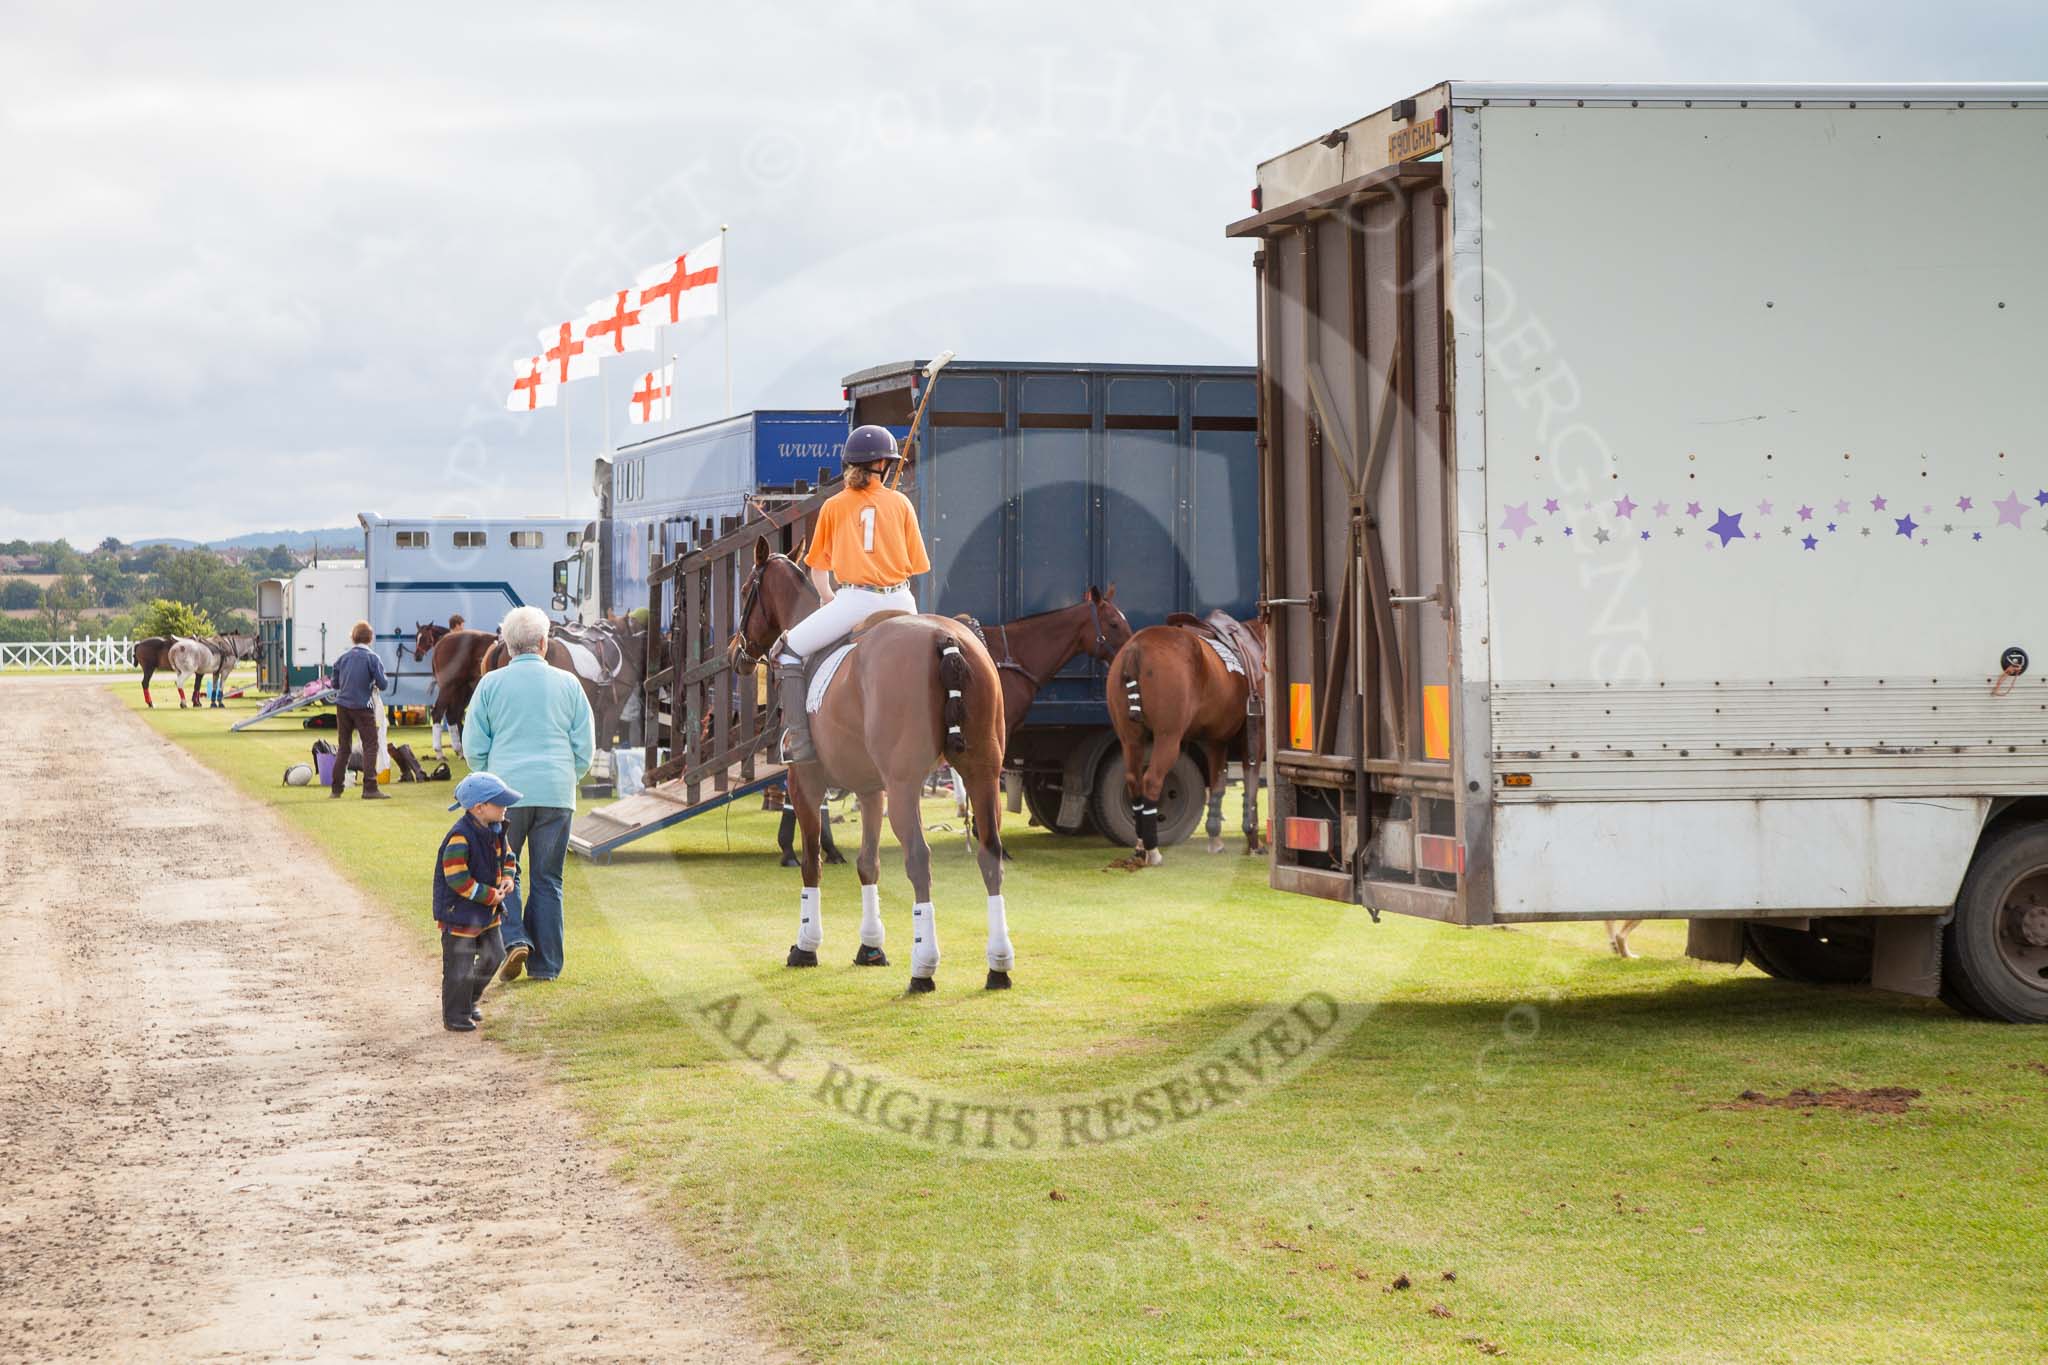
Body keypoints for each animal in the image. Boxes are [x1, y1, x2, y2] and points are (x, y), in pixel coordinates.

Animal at [733, 540, 1011, 998]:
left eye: (744, 591)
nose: (735, 653)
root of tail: (948, 638)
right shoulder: (869, 789)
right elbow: (868, 862)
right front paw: (870, 947)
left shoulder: (805, 781)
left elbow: (812, 862)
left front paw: (806, 945)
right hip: (982, 773)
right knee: (990, 854)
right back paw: (999, 966)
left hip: (904, 786)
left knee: (919, 859)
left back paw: (924, 967)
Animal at [1105, 618, 1261, 871]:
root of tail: (1135, 648)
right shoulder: (1255, 734)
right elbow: (1251, 786)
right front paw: (1254, 842)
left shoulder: (1216, 740)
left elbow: (1217, 786)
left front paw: (1215, 839)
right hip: (1169, 737)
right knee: (1152, 781)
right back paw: (1153, 851)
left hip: (1130, 738)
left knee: (1134, 781)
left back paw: (1140, 847)